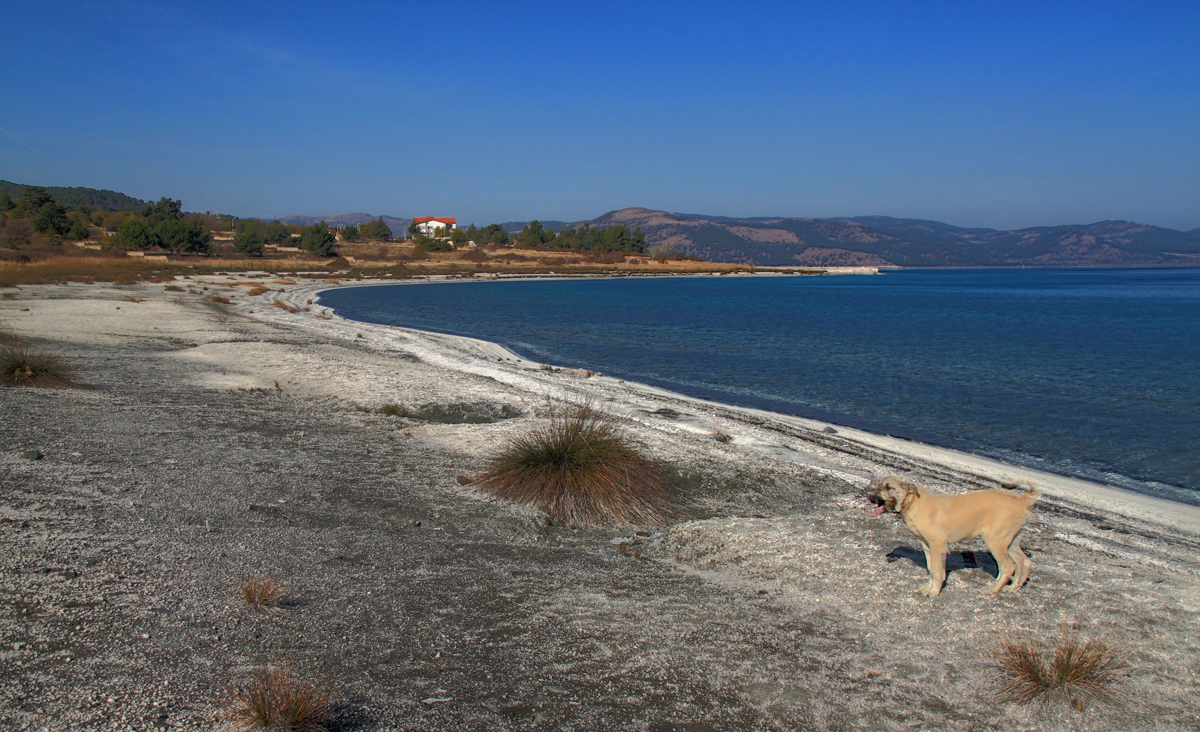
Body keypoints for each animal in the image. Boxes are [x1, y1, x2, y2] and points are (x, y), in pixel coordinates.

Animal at [868, 475, 1036, 595]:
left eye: (890, 487)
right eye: (877, 486)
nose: (870, 498)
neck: (912, 502)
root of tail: (1022, 500)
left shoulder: (938, 543)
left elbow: (937, 570)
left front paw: (934, 592)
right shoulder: (927, 545)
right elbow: (931, 568)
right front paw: (929, 588)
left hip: (995, 540)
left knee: (1008, 567)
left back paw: (993, 590)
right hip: (1010, 541)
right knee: (1024, 562)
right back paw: (1013, 587)